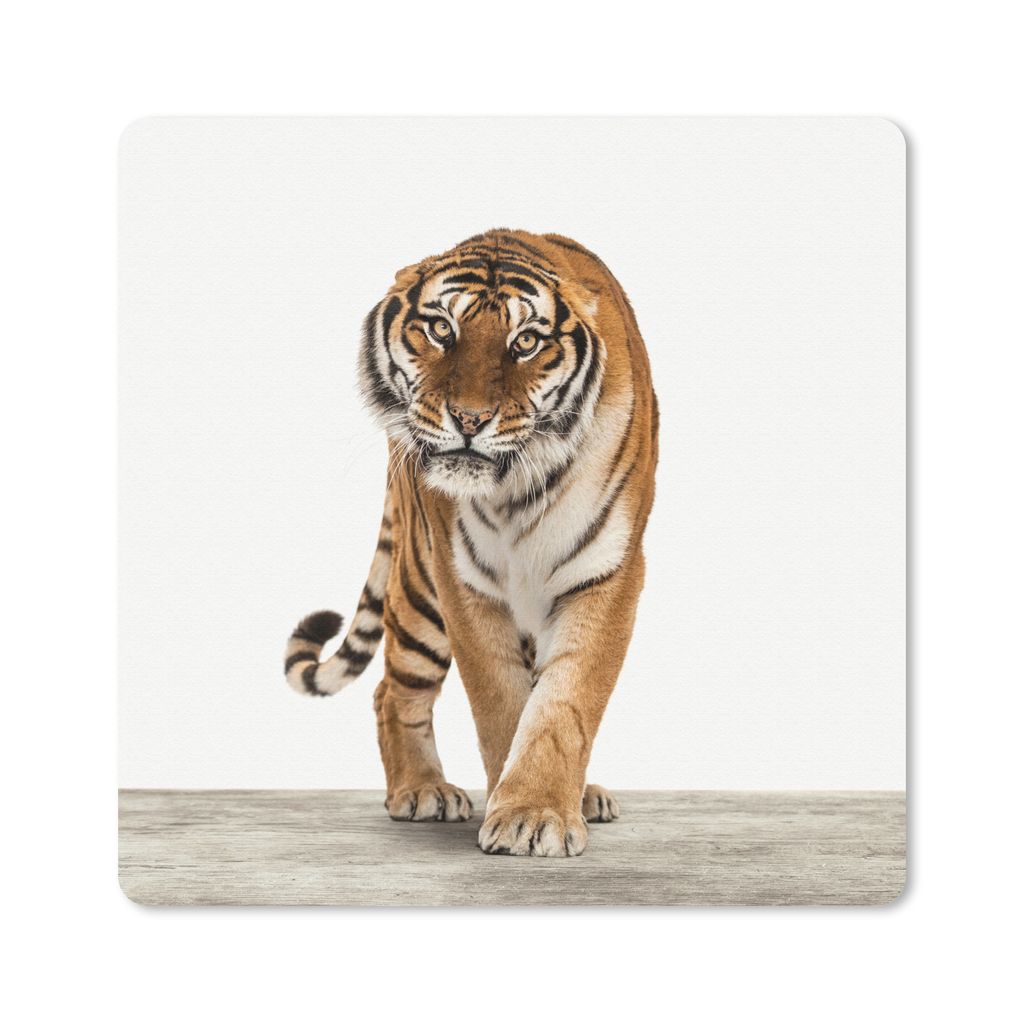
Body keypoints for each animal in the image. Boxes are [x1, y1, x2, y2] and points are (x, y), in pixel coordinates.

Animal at [284, 229, 658, 857]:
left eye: (525, 342)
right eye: (441, 329)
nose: (469, 419)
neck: (518, 488)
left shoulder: (608, 572)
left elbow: (564, 703)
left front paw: (538, 811)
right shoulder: (460, 579)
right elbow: (502, 703)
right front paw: (522, 812)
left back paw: (585, 794)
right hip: (419, 589)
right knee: (392, 691)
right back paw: (421, 791)